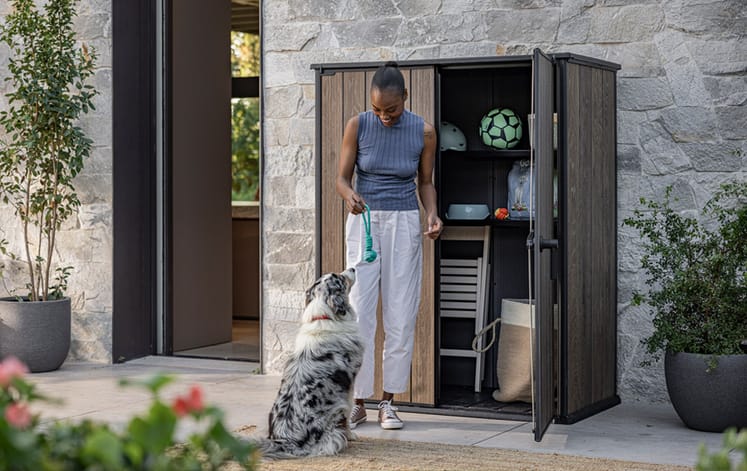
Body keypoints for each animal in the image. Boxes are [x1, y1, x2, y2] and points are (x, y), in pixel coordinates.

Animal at [258, 270, 362, 460]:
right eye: (340, 278)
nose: (352, 269)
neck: (325, 316)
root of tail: (286, 441)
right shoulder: (349, 384)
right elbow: (350, 409)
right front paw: (352, 435)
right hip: (335, 414)